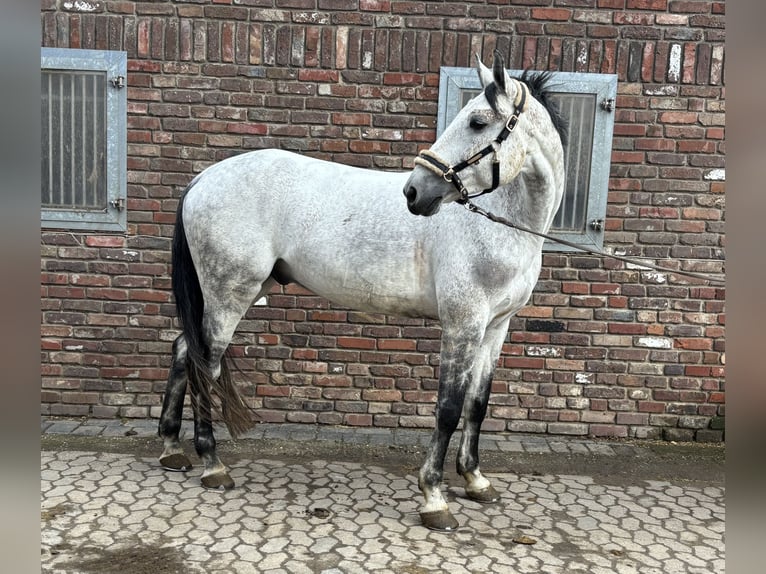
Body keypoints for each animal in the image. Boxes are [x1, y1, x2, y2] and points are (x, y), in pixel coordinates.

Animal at [158, 50, 566, 531]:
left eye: (478, 122)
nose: (414, 191)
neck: (500, 225)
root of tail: (204, 178)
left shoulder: (496, 327)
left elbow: (477, 404)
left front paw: (475, 480)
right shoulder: (463, 325)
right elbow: (448, 408)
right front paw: (434, 498)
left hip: (233, 292)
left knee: (183, 349)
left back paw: (172, 450)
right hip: (228, 294)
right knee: (205, 363)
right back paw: (212, 464)